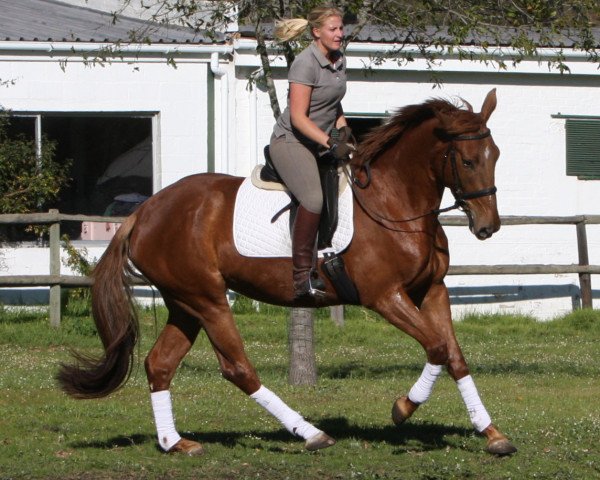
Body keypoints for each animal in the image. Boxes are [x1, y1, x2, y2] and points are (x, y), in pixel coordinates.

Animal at [57, 89, 516, 458]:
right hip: (207, 299)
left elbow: (453, 354)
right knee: (238, 369)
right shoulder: (385, 296)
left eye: (496, 157)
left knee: (159, 365)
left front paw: (492, 434)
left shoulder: (431, 290)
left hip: (184, 303)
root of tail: (144, 212)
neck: (395, 202)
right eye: (468, 160)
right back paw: (310, 433)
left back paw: (175, 443)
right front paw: (403, 408)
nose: (488, 226)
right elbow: (436, 347)